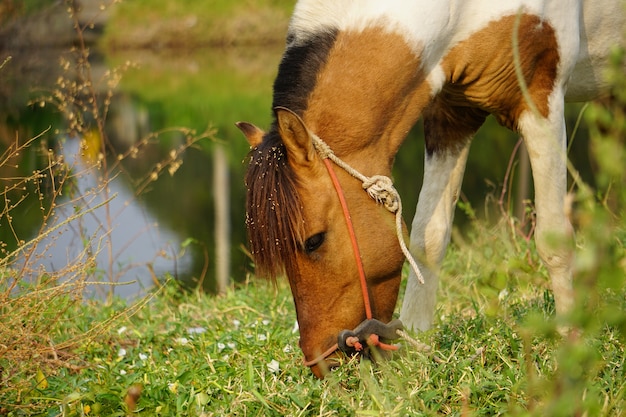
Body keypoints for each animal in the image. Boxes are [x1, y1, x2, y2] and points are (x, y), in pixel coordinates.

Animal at [236, 0, 620, 376]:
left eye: (314, 241)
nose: (321, 363)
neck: (462, 10)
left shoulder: (541, 100)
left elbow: (553, 240)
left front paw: (570, 341)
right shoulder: (452, 114)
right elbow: (428, 237)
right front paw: (415, 342)